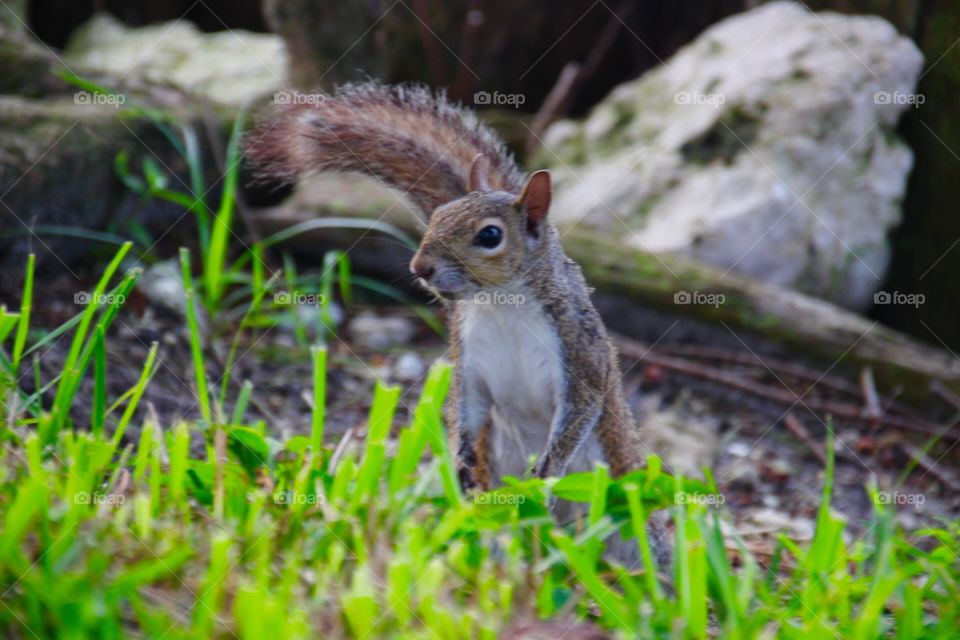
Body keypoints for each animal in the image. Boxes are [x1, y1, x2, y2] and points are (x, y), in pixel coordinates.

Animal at [247, 82, 670, 565]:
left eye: (490, 236)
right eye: (436, 216)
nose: (420, 267)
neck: (500, 303)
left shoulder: (579, 351)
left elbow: (580, 412)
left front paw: (547, 469)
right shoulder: (469, 359)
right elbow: (467, 408)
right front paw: (462, 458)